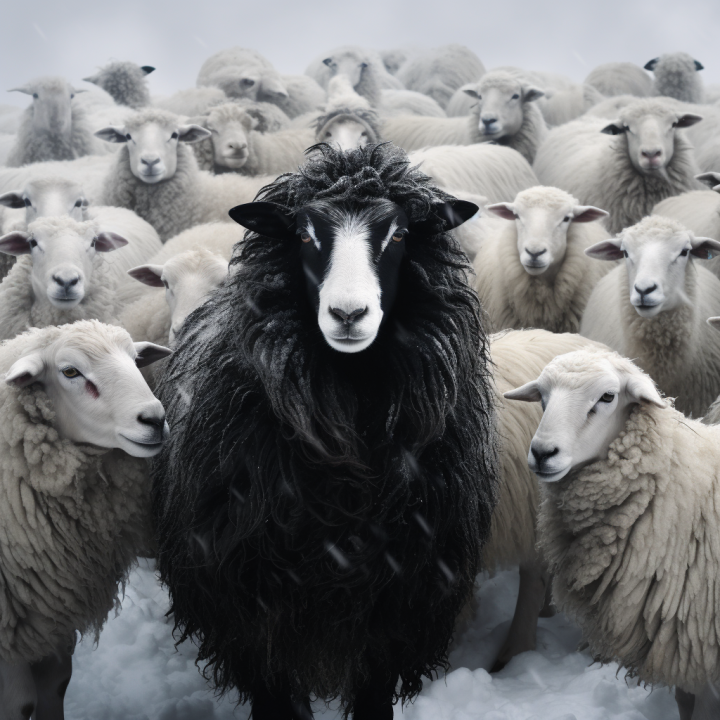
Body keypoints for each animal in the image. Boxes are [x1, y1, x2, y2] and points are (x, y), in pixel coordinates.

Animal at [0, 319, 170, 718]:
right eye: (70, 372)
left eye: (136, 360)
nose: (155, 420)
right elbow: (21, 703)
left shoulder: (51, 617)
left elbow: (58, 684)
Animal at [504, 346, 720, 719]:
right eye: (542, 396)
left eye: (607, 396)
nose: (543, 453)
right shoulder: (681, 648)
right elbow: (684, 701)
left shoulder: (701, 646)